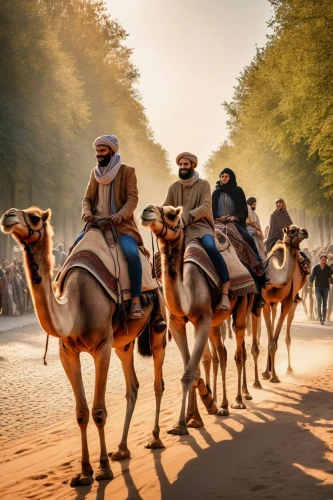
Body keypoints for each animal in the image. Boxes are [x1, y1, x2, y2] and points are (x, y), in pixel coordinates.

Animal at [0, 205, 166, 486]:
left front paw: (103, 469)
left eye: (34, 217)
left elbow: (98, 411)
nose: (8, 215)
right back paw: (122, 449)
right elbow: (81, 413)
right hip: (123, 344)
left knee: (158, 380)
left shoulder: (101, 347)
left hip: (157, 324)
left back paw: (155, 438)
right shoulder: (68, 352)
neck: (76, 307)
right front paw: (84, 471)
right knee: (132, 387)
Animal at [139, 203, 256, 434]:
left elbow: (189, 373)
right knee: (222, 354)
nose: (146, 210)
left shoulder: (202, 319)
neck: (187, 291)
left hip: (241, 304)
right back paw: (222, 404)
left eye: (171, 214)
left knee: (239, 352)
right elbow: (190, 370)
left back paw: (239, 399)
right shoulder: (177, 323)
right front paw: (195, 416)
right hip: (216, 321)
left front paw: (182, 424)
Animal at [260, 225, 308, 380]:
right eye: (292, 230)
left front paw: (274, 377)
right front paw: (267, 373)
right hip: (274, 303)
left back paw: (289, 369)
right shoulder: (266, 303)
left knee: (287, 336)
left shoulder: (287, 302)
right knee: (274, 320)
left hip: (293, 301)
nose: (305, 231)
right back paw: (268, 371)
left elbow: (274, 341)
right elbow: (270, 340)